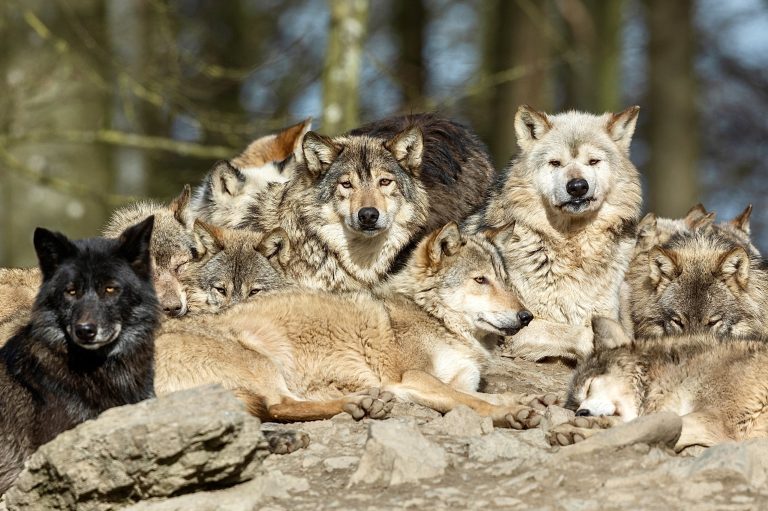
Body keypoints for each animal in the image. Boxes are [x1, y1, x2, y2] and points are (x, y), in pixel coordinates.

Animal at [153, 223, 544, 428]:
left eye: (504, 280)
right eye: (480, 280)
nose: (527, 317)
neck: (434, 318)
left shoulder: (454, 379)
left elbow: (478, 394)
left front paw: (520, 399)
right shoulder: (412, 377)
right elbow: (470, 400)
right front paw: (509, 412)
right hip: (259, 360)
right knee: (278, 406)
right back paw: (360, 403)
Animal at [465, 105, 643, 361]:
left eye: (593, 161)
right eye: (555, 163)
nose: (577, 186)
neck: (573, 249)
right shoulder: (516, 325)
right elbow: (576, 332)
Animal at [550, 317, 768, 451]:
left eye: (588, 387)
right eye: (575, 406)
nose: (581, 413)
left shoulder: (715, 422)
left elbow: (632, 431)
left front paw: (579, 433)